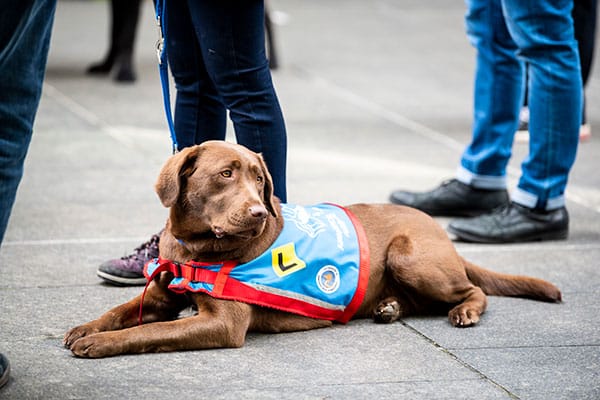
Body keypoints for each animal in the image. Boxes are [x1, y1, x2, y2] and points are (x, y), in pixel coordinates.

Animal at [65, 140, 564, 356]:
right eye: (226, 174)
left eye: (260, 180)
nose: (258, 213)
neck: (195, 247)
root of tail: (438, 231)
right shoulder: (161, 296)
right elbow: (121, 312)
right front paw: (86, 329)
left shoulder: (222, 324)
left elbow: (149, 333)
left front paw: (100, 344)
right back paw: (389, 307)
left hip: (411, 256)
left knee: (472, 292)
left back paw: (463, 312)